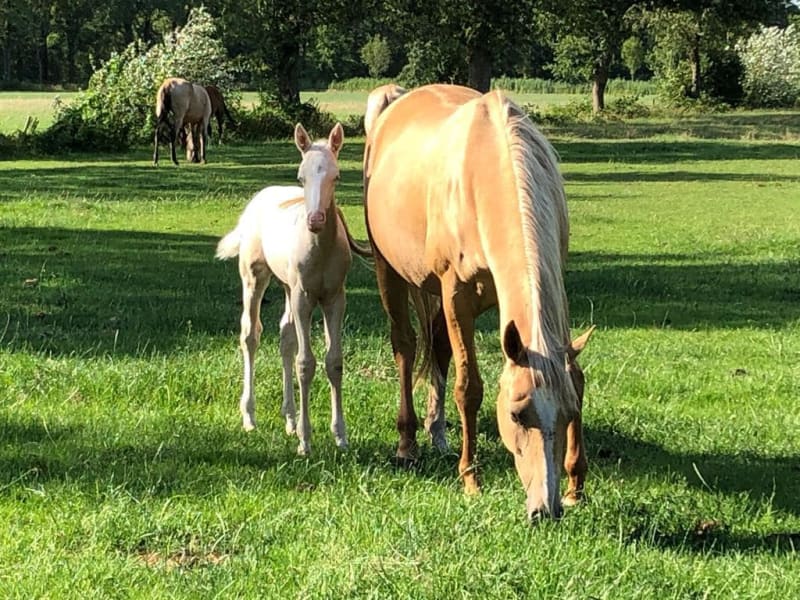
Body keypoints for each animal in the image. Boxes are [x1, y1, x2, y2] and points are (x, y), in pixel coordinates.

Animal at [216, 122, 371, 455]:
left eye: (336, 176)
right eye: (301, 177)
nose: (315, 220)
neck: (320, 248)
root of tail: (258, 199)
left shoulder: (335, 298)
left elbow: (333, 361)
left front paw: (340, 436)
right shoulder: (304, 297)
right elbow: (305, 362)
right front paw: (306, 440)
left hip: (287, 286)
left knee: (285, 337)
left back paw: (288, 418)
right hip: (255, 277)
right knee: (250, 334)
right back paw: (250, 416)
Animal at [363, 83, 594, 521]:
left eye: (570, 411)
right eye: (517, 413)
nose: (546, 508)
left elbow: (575, 373)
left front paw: (576, 485)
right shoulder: (457, 296)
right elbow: (468, 387)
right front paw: (471, 480)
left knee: (436, 347)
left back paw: (437, 433)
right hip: (390, 271)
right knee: (405, 346)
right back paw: (408, 444)